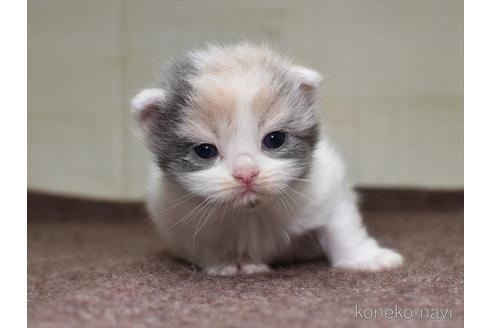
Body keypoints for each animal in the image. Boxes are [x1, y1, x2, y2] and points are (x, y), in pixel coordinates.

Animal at [132, 42, 404, 276]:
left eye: (274, 139)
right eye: (205, 151)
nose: (246, 174)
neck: (251, 213)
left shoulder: (328, 189)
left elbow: (342, 228)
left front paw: (364, 258)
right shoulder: (177, 220)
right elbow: (205, 246)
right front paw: (228, 263)